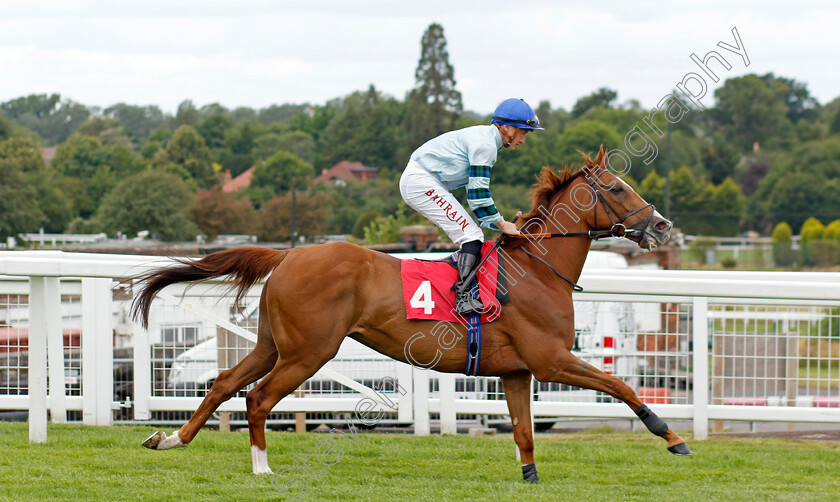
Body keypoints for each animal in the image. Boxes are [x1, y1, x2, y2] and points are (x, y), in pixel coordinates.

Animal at [133, 147, 688, 484]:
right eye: (616, 188)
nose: (663, 226)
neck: (536, 269)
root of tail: (289, 254)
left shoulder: (516, 371)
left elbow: (524, 431)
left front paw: (530, 478)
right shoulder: (550, 361)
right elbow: (622, 387)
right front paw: (672, 437)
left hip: (274, 343)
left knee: (225, 383)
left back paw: (170, 439)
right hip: (310, 351)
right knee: (258, 398)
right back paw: (262, 469)